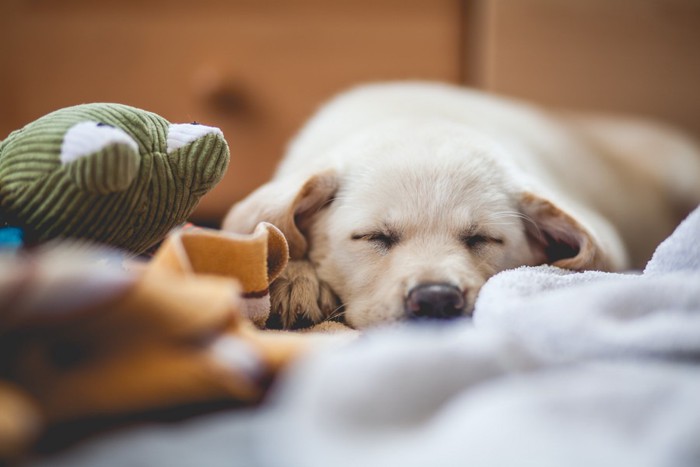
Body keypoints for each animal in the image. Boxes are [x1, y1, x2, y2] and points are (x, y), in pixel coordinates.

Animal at [223, 82, 700, 330]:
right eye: (374, 237)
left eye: (482, 238)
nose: (436, 300)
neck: (417, 117)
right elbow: (274, 229)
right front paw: (294, 279)